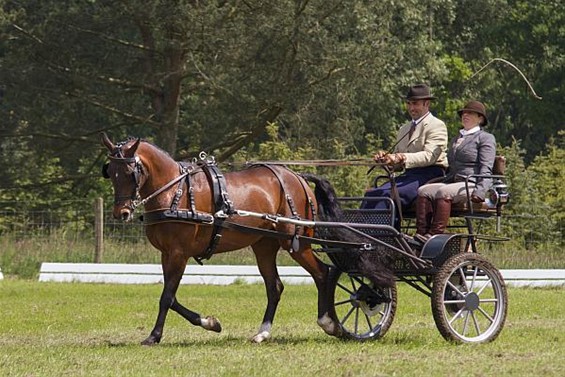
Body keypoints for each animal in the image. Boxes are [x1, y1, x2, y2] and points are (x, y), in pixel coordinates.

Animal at [99, 132, 342, 344]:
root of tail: (298, 178)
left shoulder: (179, 254)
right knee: (275, 286)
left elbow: (167, 297)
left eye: (131, 172)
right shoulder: (167, 254)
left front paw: (154, 336)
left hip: (297, 243)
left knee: (323, 273)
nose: (121, 213)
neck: (174, 192)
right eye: (110, 171)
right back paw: (262, 333)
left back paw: (331, 323)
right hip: (264, 246)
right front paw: (210, 323)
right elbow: (172, 297)